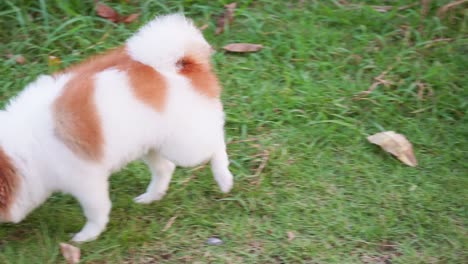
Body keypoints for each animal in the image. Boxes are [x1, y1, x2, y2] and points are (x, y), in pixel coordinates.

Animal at [0, 13, 234, 241]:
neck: (21, 156)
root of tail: (183, 64)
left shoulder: (85, 180)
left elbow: (96, 211)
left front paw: (87, 236)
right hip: (151, 144)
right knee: (165, 168)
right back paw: (151, 197)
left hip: (184, 146)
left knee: (215, 145)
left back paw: (224, 178)